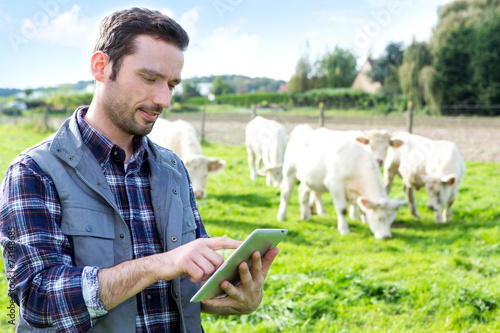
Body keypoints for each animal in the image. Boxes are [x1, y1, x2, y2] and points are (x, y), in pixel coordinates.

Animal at [278, 126, 406, 237]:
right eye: (380, 218)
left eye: (391, 220)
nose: (387, 237)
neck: (357, 161)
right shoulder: (335, 185)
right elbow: (342, 209)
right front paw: (344, 229)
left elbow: (359, 206)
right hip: (289, 171)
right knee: (286, 193)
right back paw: (281, 216)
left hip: (308, 178)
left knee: (303, 193)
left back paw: (305, 216)